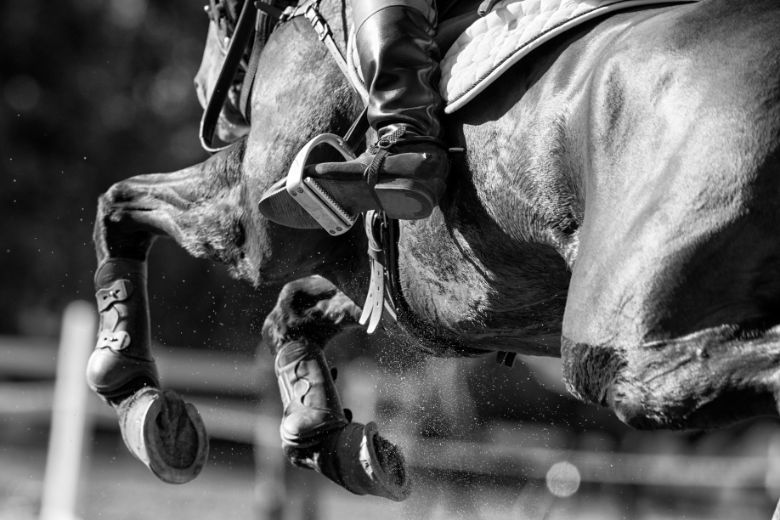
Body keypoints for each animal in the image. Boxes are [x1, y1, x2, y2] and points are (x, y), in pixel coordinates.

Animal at [88, 0, 780, 504]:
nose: (205, 85)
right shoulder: (428, 288)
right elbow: (292, 314)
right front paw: (322, 434)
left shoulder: (252, 228)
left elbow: (118, 203)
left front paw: (129, 386)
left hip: (619, 332)